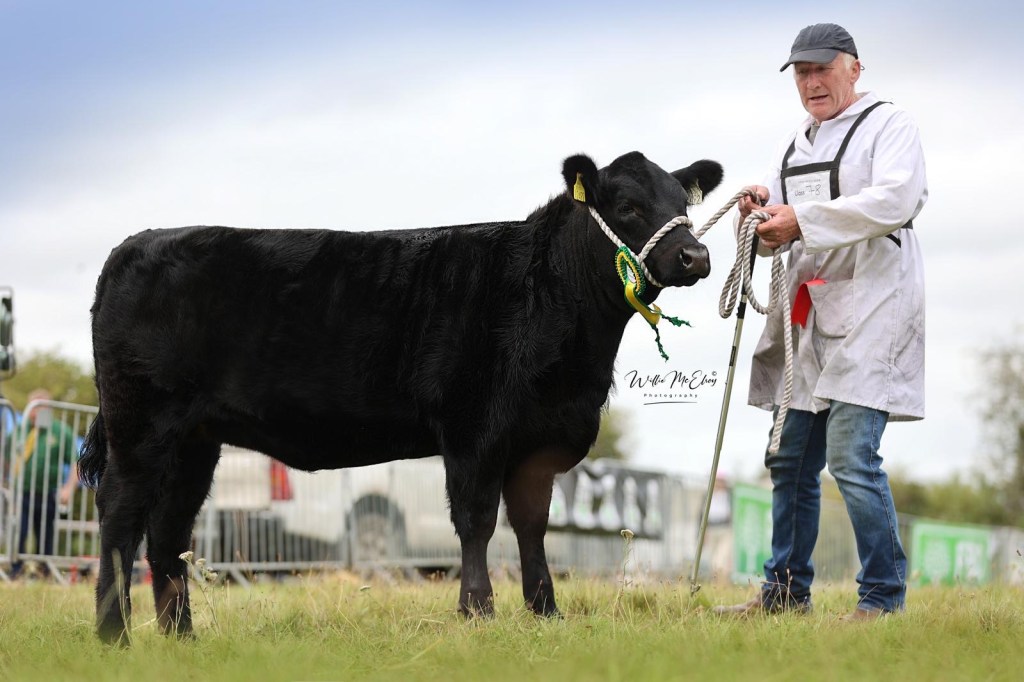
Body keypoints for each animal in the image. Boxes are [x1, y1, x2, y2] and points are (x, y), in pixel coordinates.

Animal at [79, 151, 721, 644]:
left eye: (684, 206)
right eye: (628, 206)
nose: (695, 256)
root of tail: (134, 245)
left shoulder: (538, 440)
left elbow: (532, 526)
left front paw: (546, 614)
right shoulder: (473, 428)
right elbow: (477, 521)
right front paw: (478, 612)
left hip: (194, 439)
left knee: (169, 531)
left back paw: (181, 638)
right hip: (141, 422)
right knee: (120, 514)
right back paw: (115, 635)